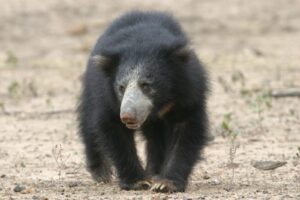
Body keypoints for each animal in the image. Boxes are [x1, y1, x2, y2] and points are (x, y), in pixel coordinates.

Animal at [77, 10, 209, 192]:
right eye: (121, 87)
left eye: (146, 85)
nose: (127, 116)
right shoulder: (106, 95)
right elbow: (113, 128)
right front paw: (138, 181)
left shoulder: (189, 92)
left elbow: (187, 131)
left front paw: (165, 183)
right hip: (91, 88)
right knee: (89, 124)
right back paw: (101, 173)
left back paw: (154, 172)